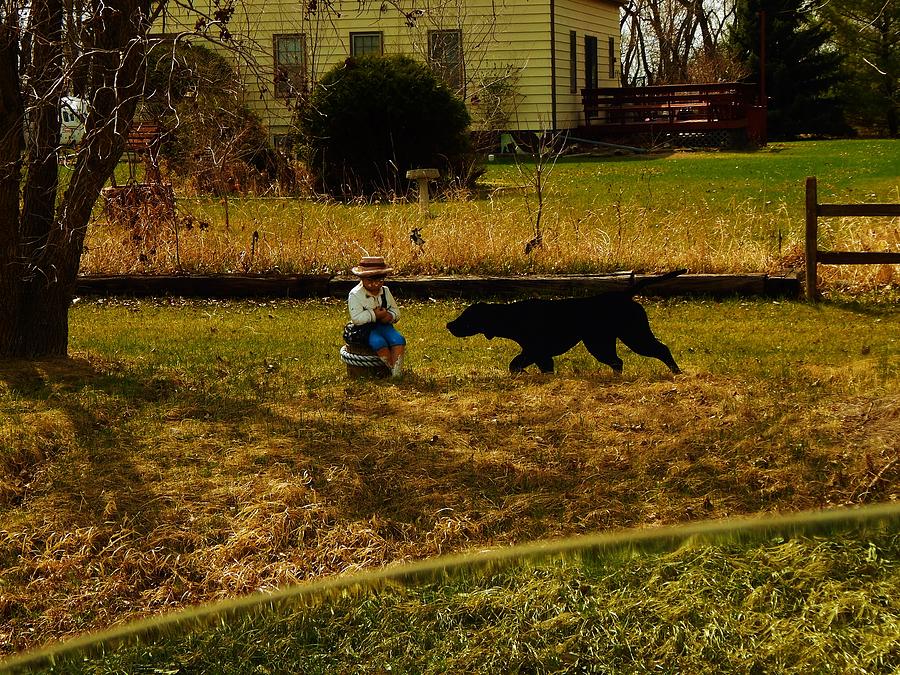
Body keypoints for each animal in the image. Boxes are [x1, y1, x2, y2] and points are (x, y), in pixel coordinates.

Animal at [446, 270, 684, 374]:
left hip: (629, 336)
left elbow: (515, 364)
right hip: (604, 341)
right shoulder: (539, 355)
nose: (449, 325)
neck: (511, 315)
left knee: (660, 350)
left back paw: (677, 373)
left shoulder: (536, 351)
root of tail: (625, 294)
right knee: (618, 362)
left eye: (466, 317)